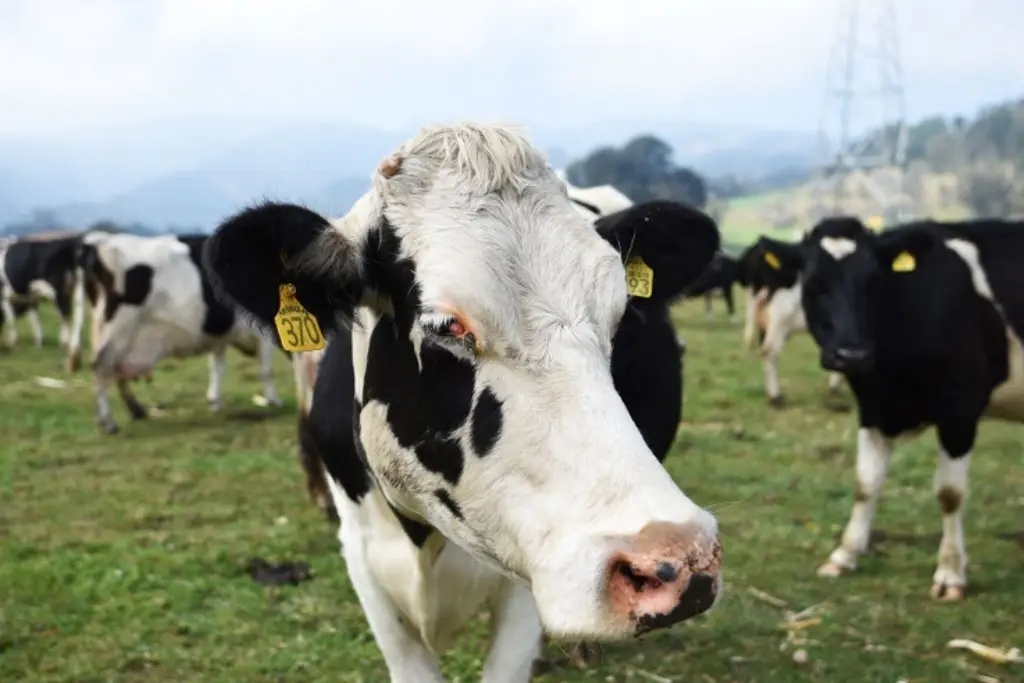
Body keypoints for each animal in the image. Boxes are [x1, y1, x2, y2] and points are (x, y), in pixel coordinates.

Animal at [0, 231, 87, 368]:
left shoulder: (5, 298)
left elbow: (11, 319)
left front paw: (13, 342)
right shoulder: (30, 298)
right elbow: (34, 319)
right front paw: (39, 342)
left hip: (59, 291)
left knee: (66, 315)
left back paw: (66, 343)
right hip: (75, 288)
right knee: (76, 315)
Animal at [77, 229, 282, 432]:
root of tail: (102, 243)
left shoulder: (219, 334)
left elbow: (217, 365)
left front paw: (214, 401)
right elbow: (267, 368)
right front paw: (273, 400)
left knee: (115, 369)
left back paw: (136, 410)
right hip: (120, 326)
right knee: (102, 366)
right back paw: (108, 422)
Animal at [798, 216, 1024, 602]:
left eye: (874, 283)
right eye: (814, 286)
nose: (852, 354)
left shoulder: (960, 411)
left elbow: (950, 494)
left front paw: (951, 574)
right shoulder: (873, 409)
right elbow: (865, 483)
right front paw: (845, 555)